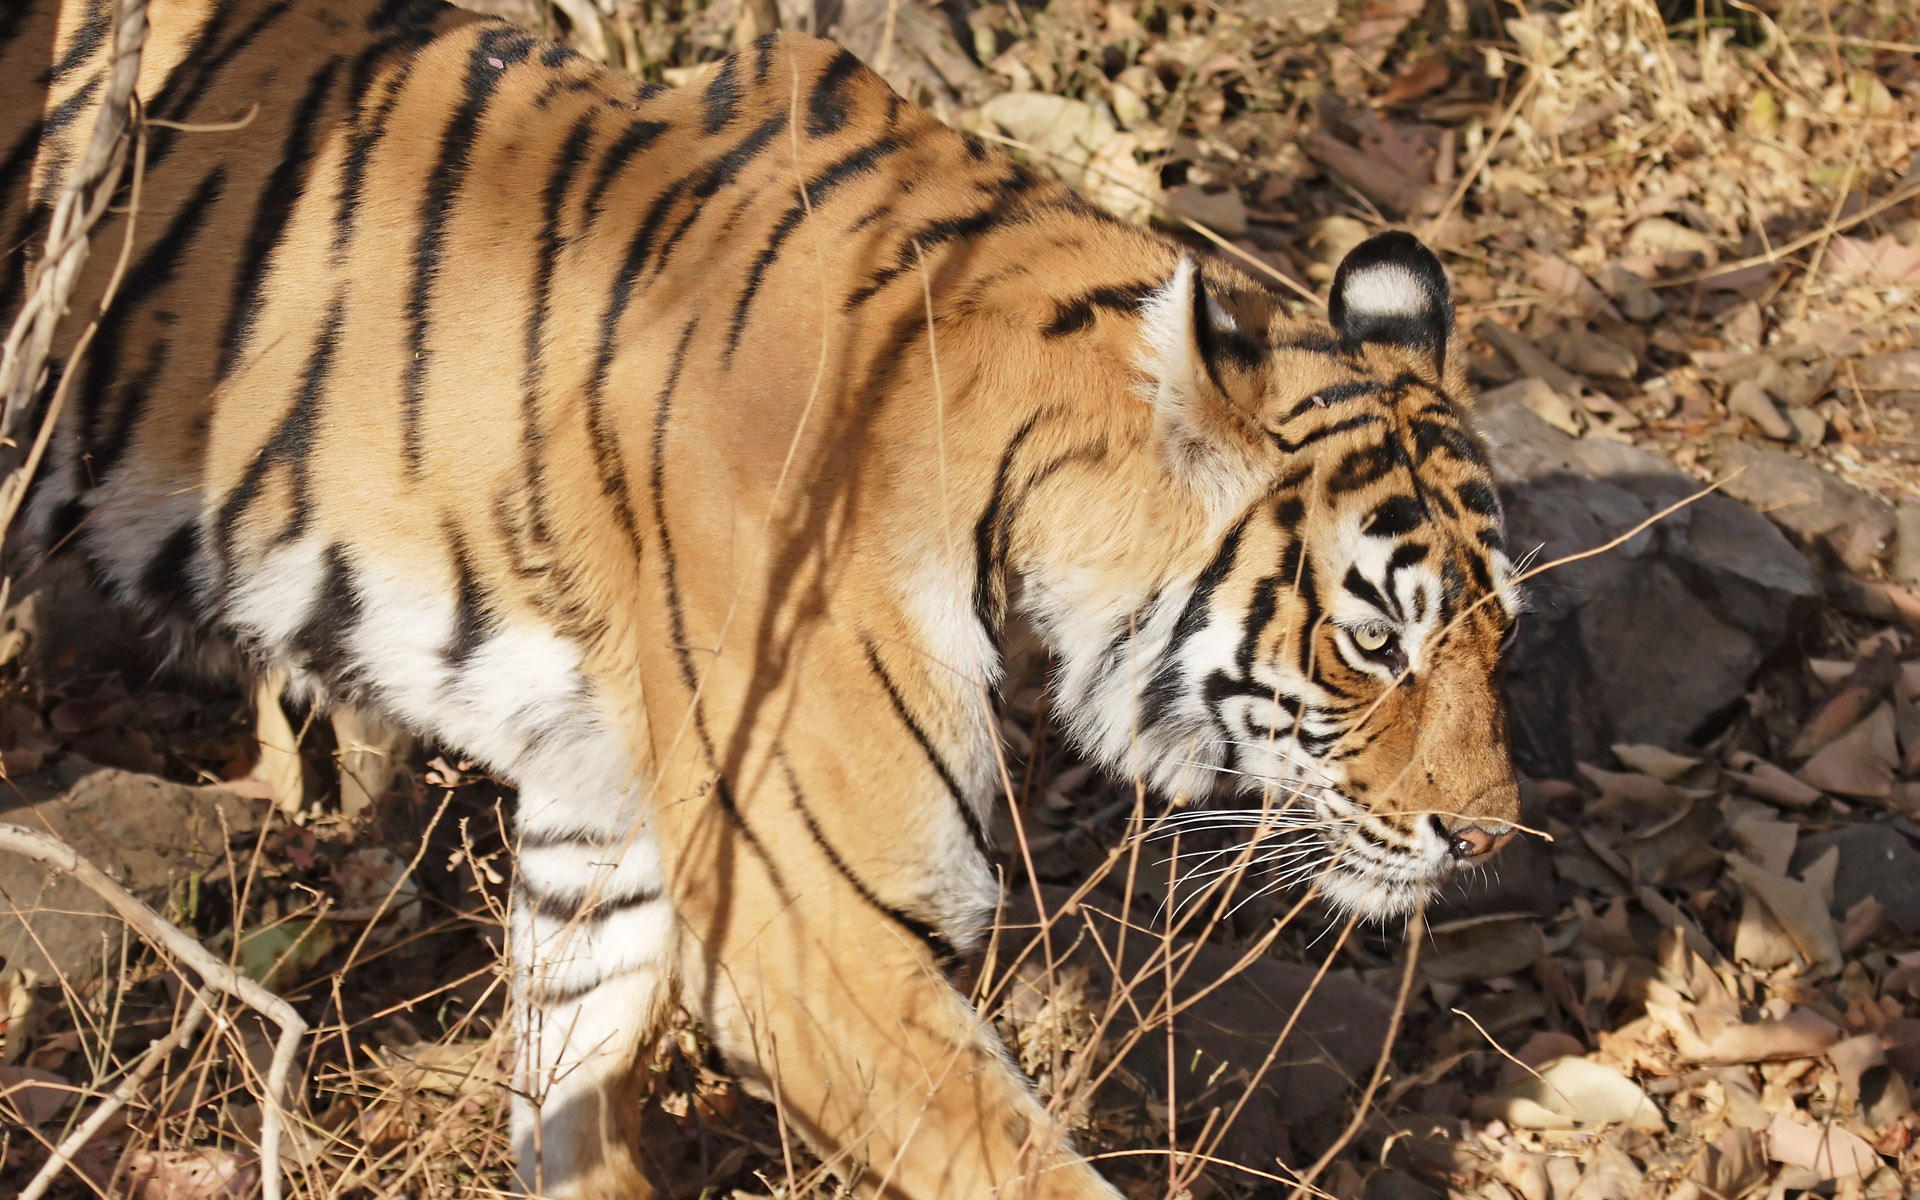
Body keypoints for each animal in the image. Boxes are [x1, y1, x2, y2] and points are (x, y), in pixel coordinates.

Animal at [3, 0, 1528, 1190]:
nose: (1490, 842)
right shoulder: (809, 923)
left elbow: (570, 1084)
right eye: (1374, 640)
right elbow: (1019, 1162)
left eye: (1499, 636)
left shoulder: (602, 814)